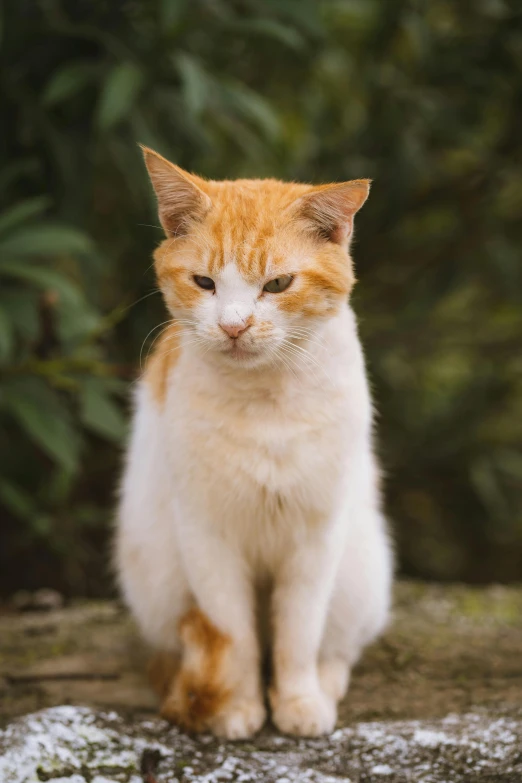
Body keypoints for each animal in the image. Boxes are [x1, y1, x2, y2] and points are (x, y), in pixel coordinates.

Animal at [114, 147, 390, 740]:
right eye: (204, 282)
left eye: (278, 285)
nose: (235, 326)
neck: (265, 399)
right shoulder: (207, 537)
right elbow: (234, 635)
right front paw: (238, 707)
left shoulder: (316, 536)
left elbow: (298, 635)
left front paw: (300, 702)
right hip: (156, 574)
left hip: (360, 571)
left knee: (336, 644)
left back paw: (326, 685)